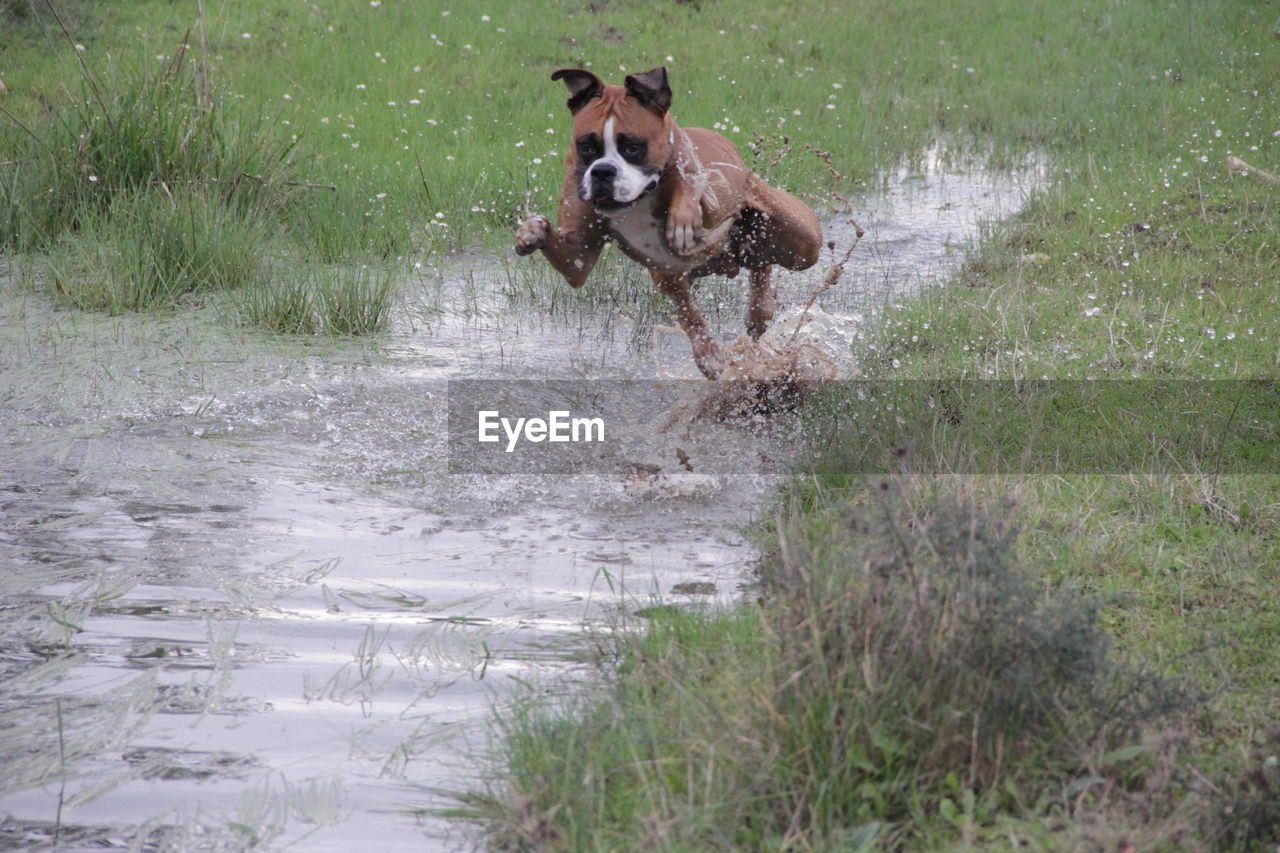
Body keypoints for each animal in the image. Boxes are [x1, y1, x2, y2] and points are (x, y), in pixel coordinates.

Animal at [509, 63, 819, 376]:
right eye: (586, 146)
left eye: (632, 147)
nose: (602, 171)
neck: (642, 198)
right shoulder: (578, 258)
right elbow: (571, 258)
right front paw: (531, 232)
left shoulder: (712, 199)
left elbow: (690, 182)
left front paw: (682, 216)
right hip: (667, 275)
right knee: (691, 308)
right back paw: (713, 350)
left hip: (803, 243)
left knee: (764, 260)